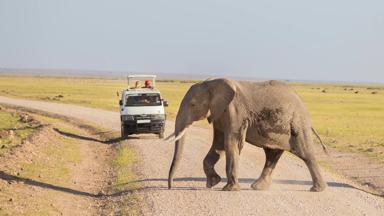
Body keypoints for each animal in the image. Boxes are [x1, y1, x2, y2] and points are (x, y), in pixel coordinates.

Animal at [166, 78, 328, 192]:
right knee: (272, 155)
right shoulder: (219, 113)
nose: (169, 187)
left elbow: (230, 144)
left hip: (298, 123)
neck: (211, 82)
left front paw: (229, 189)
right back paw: (258, 187)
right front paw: (213, 183)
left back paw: (317, 189)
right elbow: (218, 145)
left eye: (193, 104)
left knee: (305, 154)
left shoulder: (235, 112)